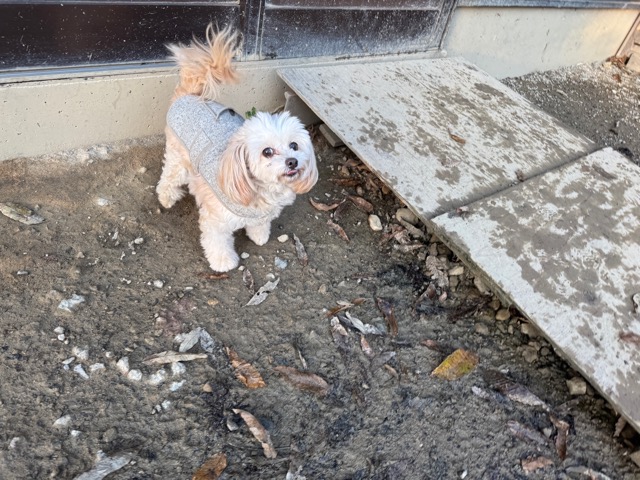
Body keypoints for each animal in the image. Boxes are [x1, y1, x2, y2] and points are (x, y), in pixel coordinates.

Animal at [156, 26, 318, 272]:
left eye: (294, 145)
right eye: (267, 151)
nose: (293, 161)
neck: (262, 191)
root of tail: (189, 94)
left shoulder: (262, 214)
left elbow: (259, 224)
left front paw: (259, 236)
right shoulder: (216, 221)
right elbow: (217, 241)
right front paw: (223, 262)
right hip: (178, 157)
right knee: (169, 177)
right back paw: (166, 197)